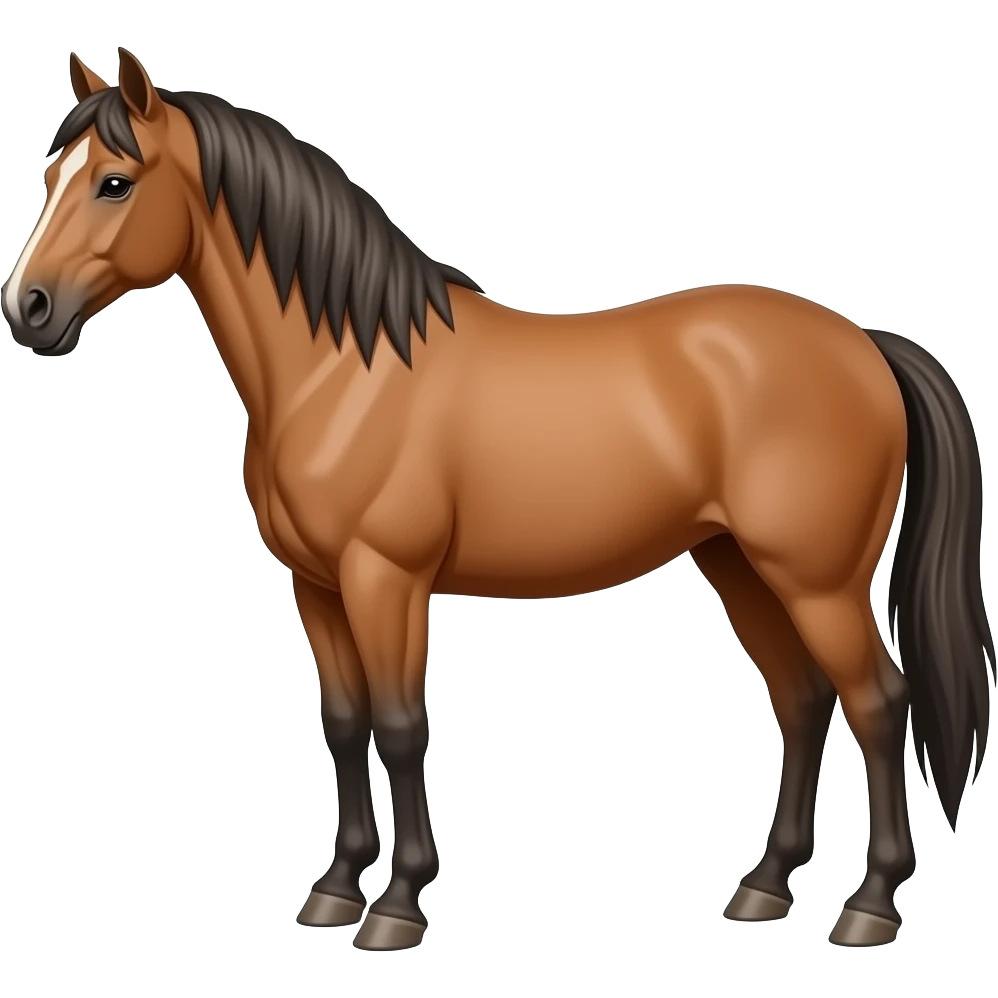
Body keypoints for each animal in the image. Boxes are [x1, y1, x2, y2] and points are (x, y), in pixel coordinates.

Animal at [2, 47, 993, 951]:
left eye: (116, 183)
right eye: (53, 176)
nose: (29, 310)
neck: (343, 370)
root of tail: (864, 344)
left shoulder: (385, 580)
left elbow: (402, 726)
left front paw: (397, 906)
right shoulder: (316, 587)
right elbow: (345, 725)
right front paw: (334, 890)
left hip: (817, 580)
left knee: (879, 704)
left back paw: (868, 906)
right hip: (738, 565)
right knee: (802, 700)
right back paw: (764, 887)